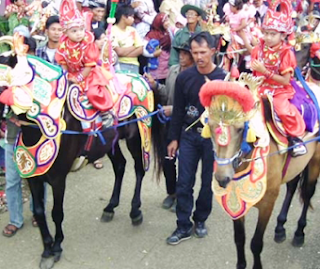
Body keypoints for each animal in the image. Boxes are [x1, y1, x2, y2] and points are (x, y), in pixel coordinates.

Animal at [199, 72, 320, 266]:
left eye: (240, 128)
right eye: (210, 125)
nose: (222, 178)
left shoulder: (267, 203)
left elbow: (255, 243)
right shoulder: (235, 202)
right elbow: (239, 238)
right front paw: (241, 264)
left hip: (315, 160)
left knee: (308, 192)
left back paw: (299, 233)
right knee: (292, 186)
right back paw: (280, 227)